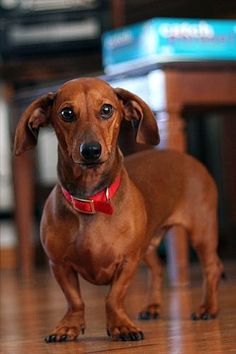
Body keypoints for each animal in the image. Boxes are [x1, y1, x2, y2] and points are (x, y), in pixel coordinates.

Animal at [13, 78, 222, 342]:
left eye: (106, 109)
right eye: (66, 113)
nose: (91, 150)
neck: (92, 199)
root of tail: (188, 158)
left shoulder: (128, 261)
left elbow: (114, 297)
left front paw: (121, 326)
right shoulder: (59, 264)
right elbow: (74, 300)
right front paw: (68, 326)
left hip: (201, 232)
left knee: (211, 268)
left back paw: (208, 308)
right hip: (148, 244)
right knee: (158, 268)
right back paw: (152, 307)